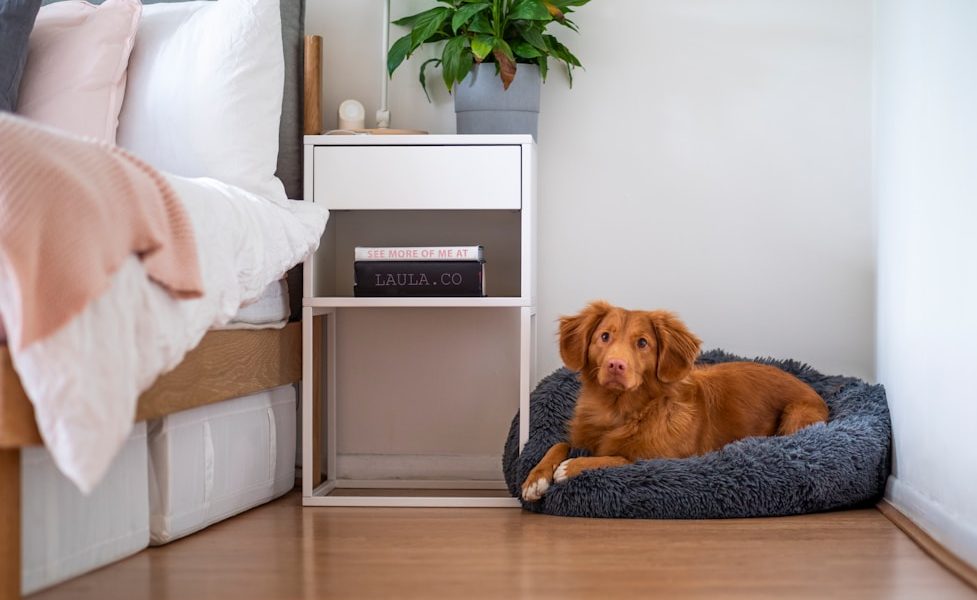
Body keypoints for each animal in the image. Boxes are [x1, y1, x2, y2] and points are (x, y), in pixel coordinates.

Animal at [524, 300, 828, 502]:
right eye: (604, 336)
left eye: (642, 343)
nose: (615, 365)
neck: (619, 410)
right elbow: (558, 443)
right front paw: (535, 478)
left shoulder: (659, 459)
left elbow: (619, 458)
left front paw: (570, 467)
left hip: (796, 414)